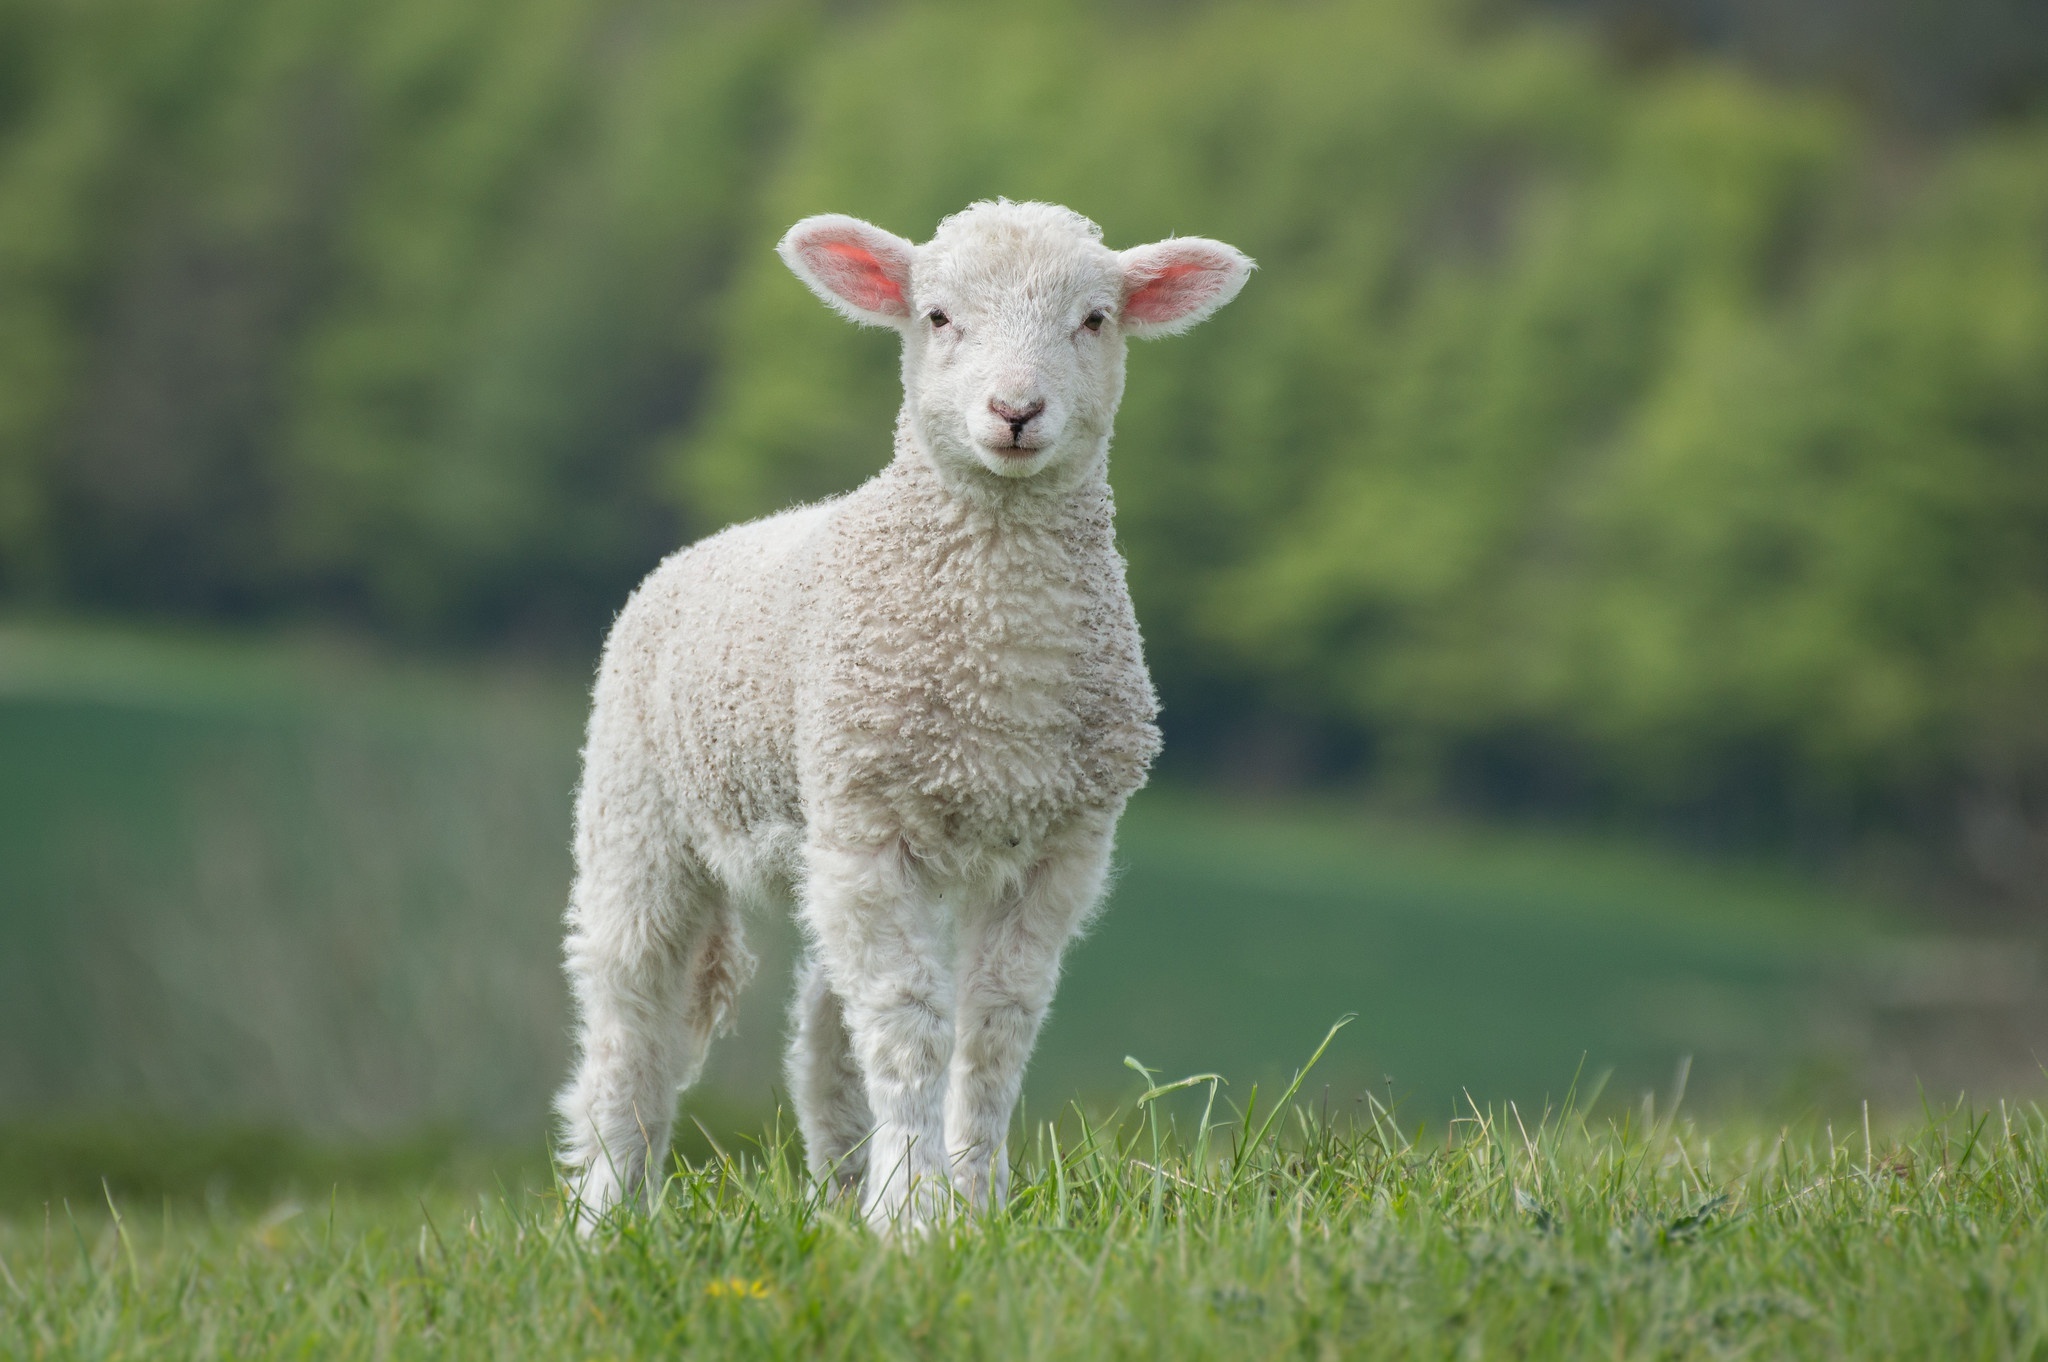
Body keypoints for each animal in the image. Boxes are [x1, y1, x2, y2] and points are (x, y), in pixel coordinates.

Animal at [561, 196, 1253, 1228]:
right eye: (937, 316)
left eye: (1095, 319)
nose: (1016, 412)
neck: (998, 674)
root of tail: (699, 550)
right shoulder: (872, 823)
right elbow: (910, 1019)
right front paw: (916, 1214)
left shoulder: (1059, 845)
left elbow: (995, 1022)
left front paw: (972, 1197)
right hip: (637, 809)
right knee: (628, 1021)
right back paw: (605, 1216)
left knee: (822, 1024)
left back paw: (843, 1186)